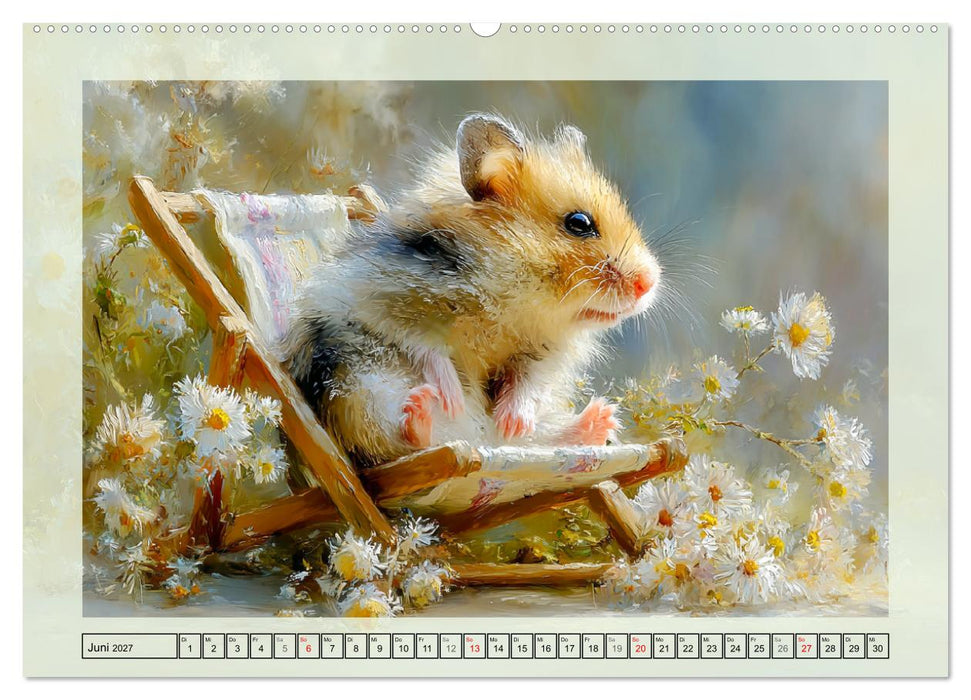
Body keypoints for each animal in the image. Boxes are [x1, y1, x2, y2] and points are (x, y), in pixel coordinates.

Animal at [283, 113, 662, 468]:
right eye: (579, 223)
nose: (649, 283)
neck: (512, 300)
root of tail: (475, 441)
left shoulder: (543, 350)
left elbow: (528, 380)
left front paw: (513, 422)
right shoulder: (375, 294)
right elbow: (425, 343)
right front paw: (451, 395)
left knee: (528, 440)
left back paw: (596, 422)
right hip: (362, 390)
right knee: (397, 438)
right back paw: (424, 410)